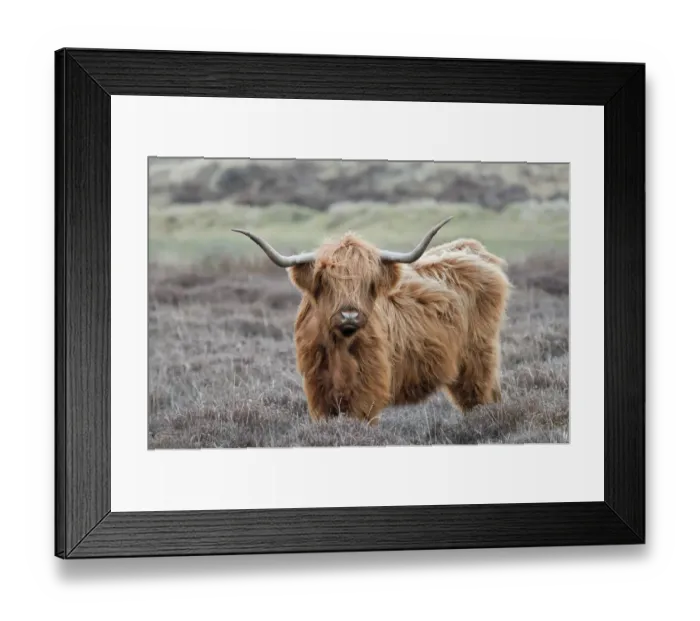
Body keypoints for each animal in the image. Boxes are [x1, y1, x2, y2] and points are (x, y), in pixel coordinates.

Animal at [231, 217, 511, 426]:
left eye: (368, 282)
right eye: (326, 280)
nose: (349, 315)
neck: (340, 348)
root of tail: (471, 249)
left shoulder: (367, 393)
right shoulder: (317, 392)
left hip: (478, 359)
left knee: (480, 397)